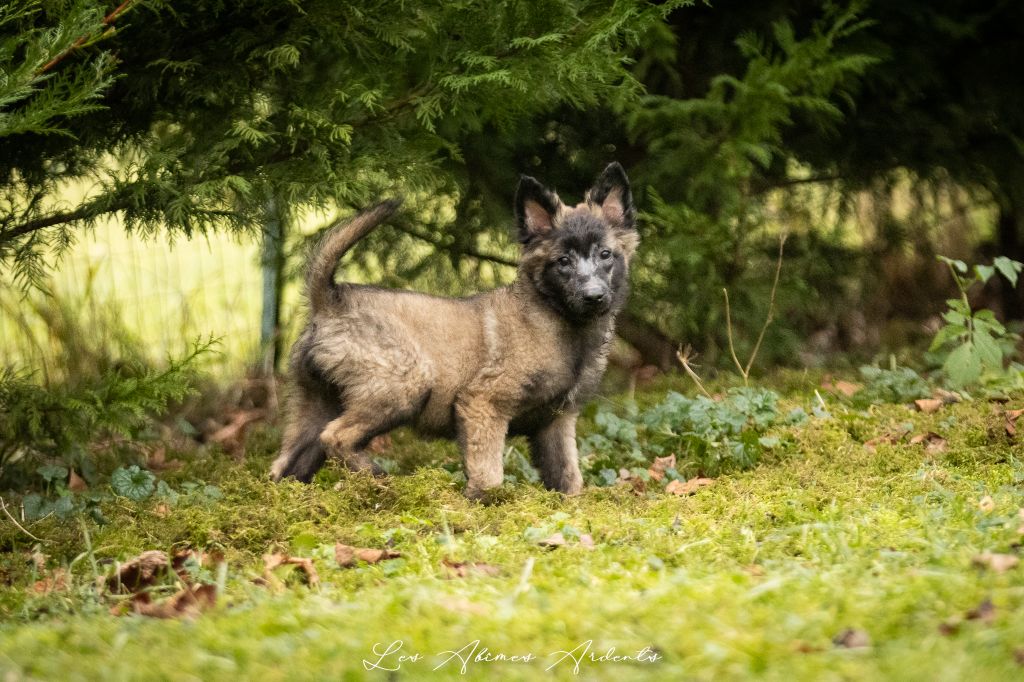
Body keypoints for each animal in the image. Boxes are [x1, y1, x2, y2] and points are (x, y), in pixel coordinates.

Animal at [272, 162, 638, 497]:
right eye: (563, 261)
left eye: (605, 255)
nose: (594, 296)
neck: (557, 318)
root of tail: (332, 300)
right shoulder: (483, 404)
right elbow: (488, 473)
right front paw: (484, 503)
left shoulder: (557, 422)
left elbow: (567, 476)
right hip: (404, 383)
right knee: (335, 437)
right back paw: (379, 479)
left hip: (317, 403)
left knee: (288, 462)